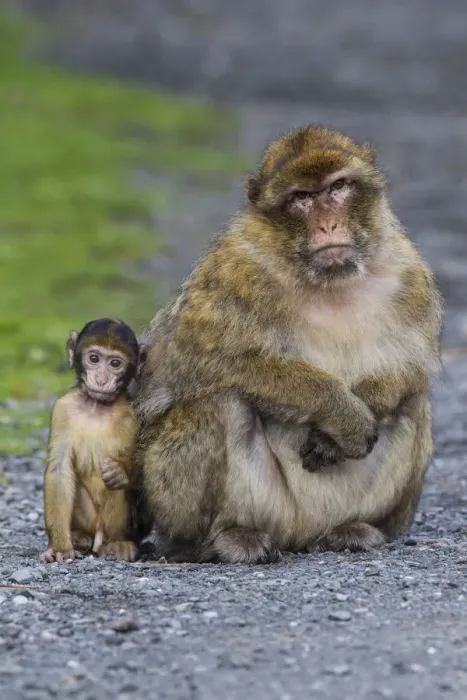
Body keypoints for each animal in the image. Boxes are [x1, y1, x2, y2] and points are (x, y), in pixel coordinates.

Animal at [42, 318, 148, 564]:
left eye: (115, 363)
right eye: (94, 359)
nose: (101, 379)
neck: (96, 406)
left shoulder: (133, 415)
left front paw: (121, 472)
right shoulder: (62, 409)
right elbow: (60, 469)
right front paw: (60, 547)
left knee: (117, 488)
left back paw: (118, 544)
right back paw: (79, 537)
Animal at [134, 125, 443, 564]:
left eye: (338, 187)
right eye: (302, 198)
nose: (329, 225)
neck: (327, 280)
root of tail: (302, 535)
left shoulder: (409, 272)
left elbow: (412, 364)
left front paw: (364, 405)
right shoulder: (233, 270)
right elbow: (201, 364)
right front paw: (342, 413)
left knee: (414, 402)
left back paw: (353, 530)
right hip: (253, 510)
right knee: (217, 402)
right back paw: (220, 540)